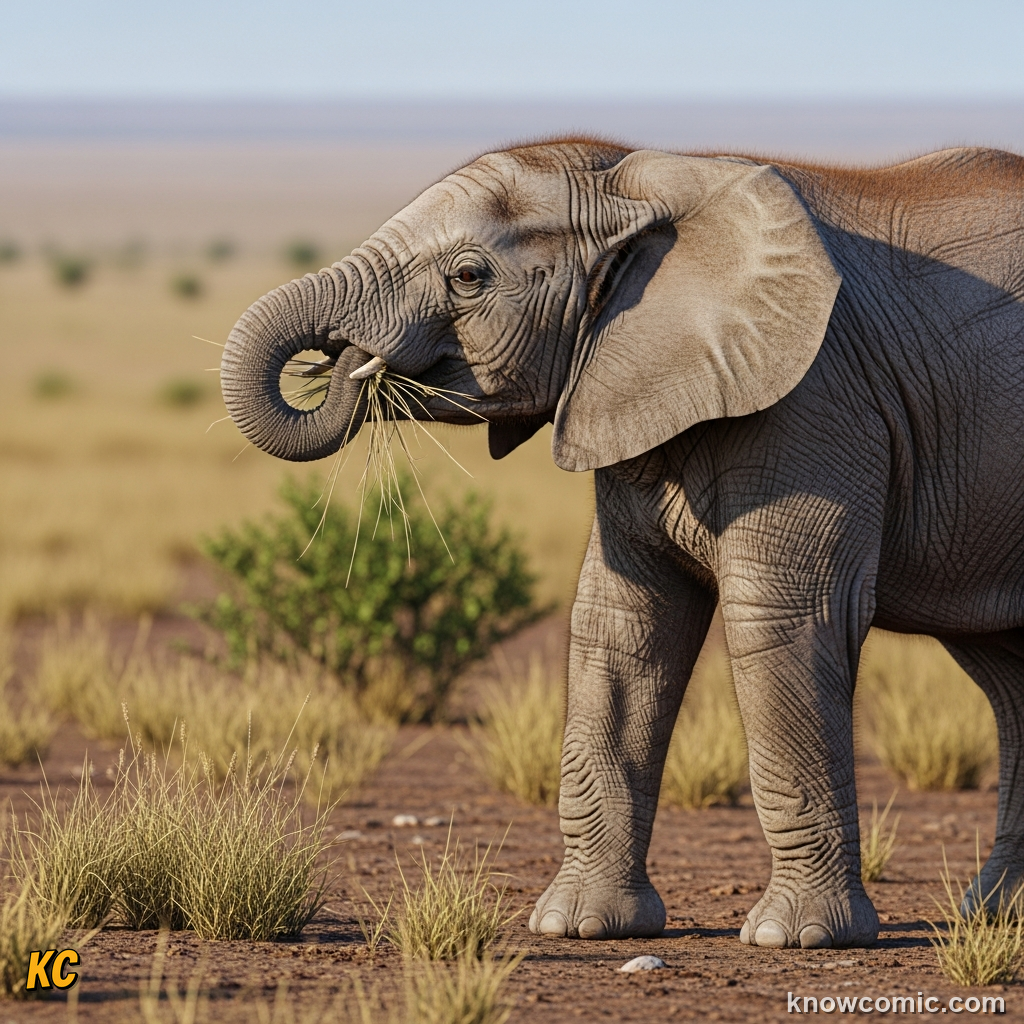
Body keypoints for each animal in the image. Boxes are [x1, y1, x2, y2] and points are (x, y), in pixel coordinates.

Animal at [221, 139, 1024, 949]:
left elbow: (784, 617)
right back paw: (997, 915)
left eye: (469, 276)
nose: (341, 364)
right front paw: (577, 927)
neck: (638, 182)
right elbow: (622, 625)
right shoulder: (620, 386)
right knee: (1008, 679)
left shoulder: (818, 400)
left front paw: (796, 938)